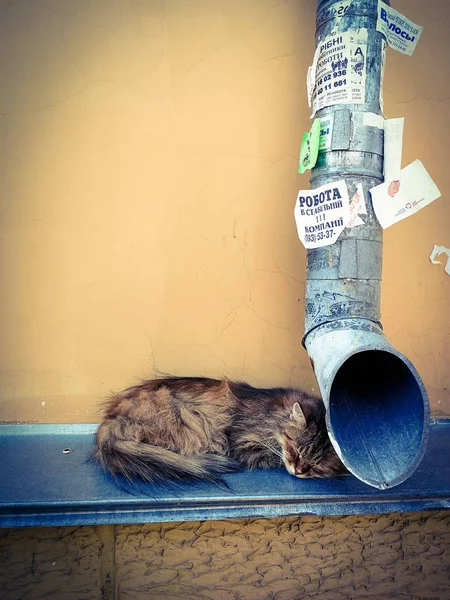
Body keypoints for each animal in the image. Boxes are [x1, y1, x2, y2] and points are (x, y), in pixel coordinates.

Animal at [90, 378, 344, 486]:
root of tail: (111, 420)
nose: (299, 471)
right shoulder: (243, 443)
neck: (276, 416)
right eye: (294, 451)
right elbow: (272, 456)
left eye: (317, 464)